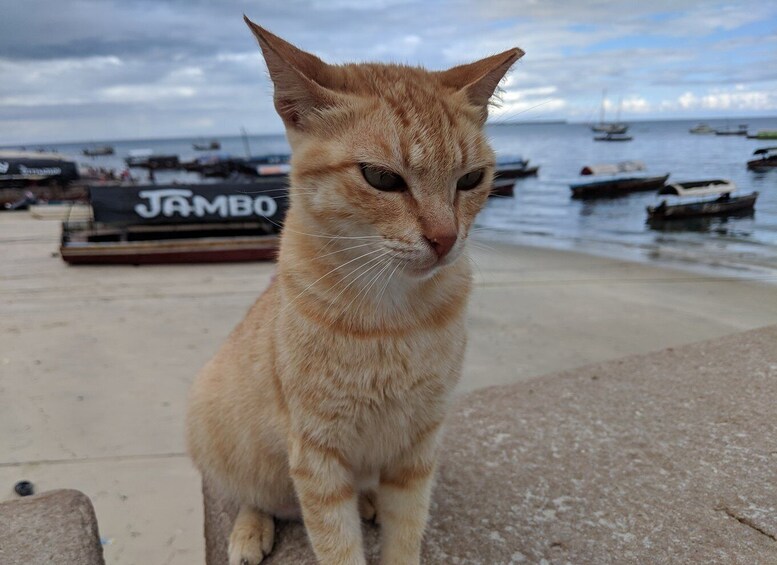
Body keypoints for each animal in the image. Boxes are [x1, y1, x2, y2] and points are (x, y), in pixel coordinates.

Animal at [185, 17, 520, 564]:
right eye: (381, 178)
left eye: (471, 179)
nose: (446, 238)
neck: (394, 316)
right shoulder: (317, 455)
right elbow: (337, 544)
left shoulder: (419, 443)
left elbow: (406, 529)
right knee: (253, 497)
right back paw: (250, 531)